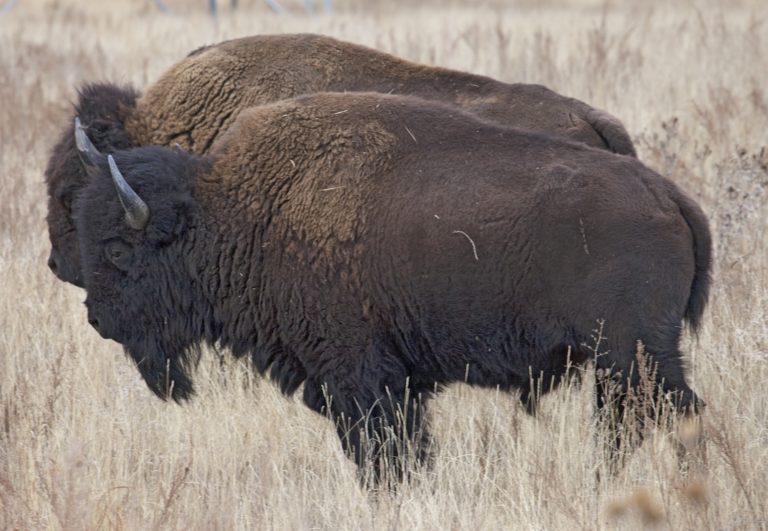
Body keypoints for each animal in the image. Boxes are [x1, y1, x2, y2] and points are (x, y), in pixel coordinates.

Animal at [73, 92, 708, 481]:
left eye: (118, 249)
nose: (96, 319)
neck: (238, 211)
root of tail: (668, 196)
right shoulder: (394, 385)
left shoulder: (359, 381)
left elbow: (382, 457)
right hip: (620, 365)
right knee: (630, 424)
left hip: (632, 356)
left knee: (676, 415)